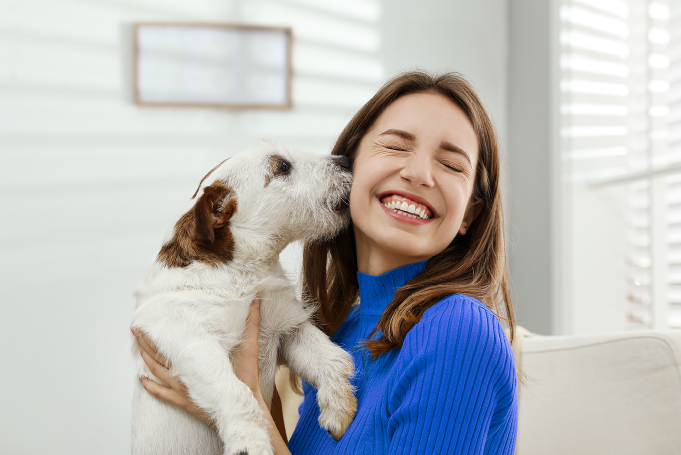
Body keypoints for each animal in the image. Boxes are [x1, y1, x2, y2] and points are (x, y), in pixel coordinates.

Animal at [130, 145, 358, 455]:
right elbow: (236, 392)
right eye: (282, 166)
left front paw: (338, 406)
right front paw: (250, 441)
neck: (243, 273)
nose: (346, 160)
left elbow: (331, 358)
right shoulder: (192, 341)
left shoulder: (287, 330)